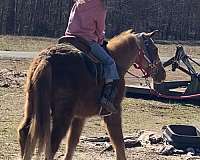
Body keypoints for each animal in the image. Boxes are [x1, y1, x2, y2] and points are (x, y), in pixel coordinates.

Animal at [18, 29, 166, 160]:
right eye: (154, 49)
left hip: (32, 104)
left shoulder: (79, 117)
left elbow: (72, 144)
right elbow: (119, 142)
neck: (117, 61)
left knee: (25, 132)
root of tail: (46, 59)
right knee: (51, 146)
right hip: (62, 115)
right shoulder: (113, 113)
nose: (162, 73)